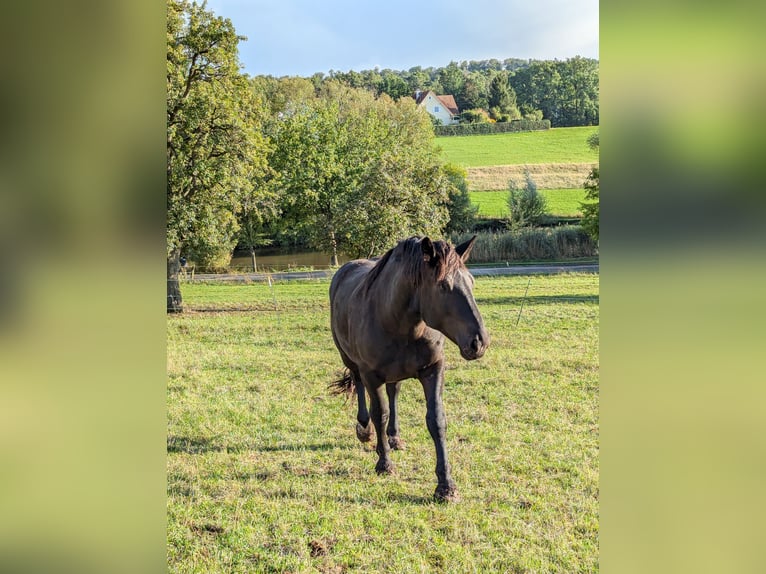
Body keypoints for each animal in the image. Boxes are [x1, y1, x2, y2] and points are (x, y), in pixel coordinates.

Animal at [328, 236, 486, 502]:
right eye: (443, 286)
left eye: (471, 282)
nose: (479, 342)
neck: (397, 321)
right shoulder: (372, 375)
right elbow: (379, 413)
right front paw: (384, 464)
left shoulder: (433, 369)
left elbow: (436, 420)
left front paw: (446, 486)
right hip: (350, 359)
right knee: (359, 387)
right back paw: (366, 431)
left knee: (394, 393)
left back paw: (394, 437)